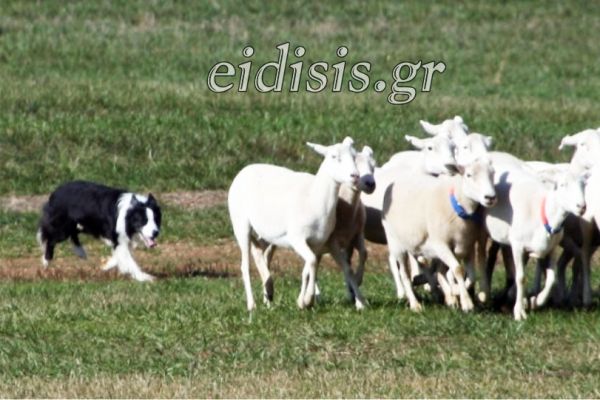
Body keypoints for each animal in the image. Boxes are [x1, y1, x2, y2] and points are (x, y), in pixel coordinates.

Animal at [228, 137, 359, 311]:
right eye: (333, 156)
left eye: (354, 156)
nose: (355, 175)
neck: (314, 197)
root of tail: (244, 170)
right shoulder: (297, 238)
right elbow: (311, 262)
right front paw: (307, 300)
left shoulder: (317, 242)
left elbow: (310, 267)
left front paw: (303, 301)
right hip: (240, 223)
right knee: (245, 265)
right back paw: (252, 304)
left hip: (268, 233)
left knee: (258, 251)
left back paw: (268, 294)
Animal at [381, 157, 497, 312]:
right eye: (468, 175)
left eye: (492, 174)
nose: (490, 197)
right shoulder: (441, 244)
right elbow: (458, 270)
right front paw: (466, 302)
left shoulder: (467, 246)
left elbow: (471, 276)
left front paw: (455, 292)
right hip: (396, 243)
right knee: (405, 274)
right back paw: (415, 304)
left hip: (415, 242)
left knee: (431, 269)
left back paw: (443, 294)